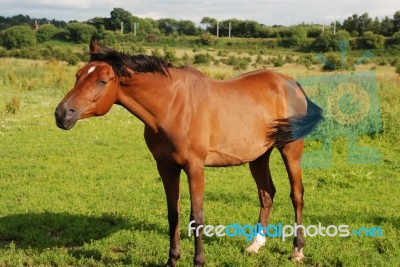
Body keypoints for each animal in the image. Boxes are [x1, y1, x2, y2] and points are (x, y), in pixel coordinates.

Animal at [54, 38, 324, 267]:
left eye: (102, 81)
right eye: (78, 75)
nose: (62, 114)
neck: (172, 105)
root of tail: (292, 84)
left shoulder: (194, 167)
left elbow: (197, 216)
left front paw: (198, 261)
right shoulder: (166, 167)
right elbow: (173, 214)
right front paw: (172, 259)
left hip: (291, 149)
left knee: (296, 195)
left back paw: (297, 250)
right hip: (259, 156)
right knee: (267, 193)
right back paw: (255, 245)